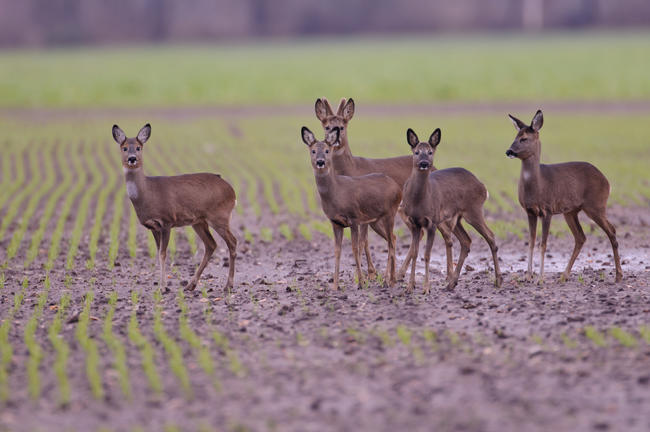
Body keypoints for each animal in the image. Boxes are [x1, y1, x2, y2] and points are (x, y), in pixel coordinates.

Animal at [112, 125, 237, 294]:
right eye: (124, 148)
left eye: (138, 147)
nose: (132, 158)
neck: (147, 193)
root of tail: (232, 191)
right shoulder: (152, 226)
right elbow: (158, 252)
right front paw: (162, 285)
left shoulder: (167, 221)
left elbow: (163, 254)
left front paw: (163, 287)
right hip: (199, 221)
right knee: (211, 244)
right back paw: (191, 285)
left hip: (219, 216)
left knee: (232, 242)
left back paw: (228, 285)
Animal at [300, 125, 400, 290]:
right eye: (313, 151)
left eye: (327, 150)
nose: (320, 162)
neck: (336, 194)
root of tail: (397, 187)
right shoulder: (335, 222)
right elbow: (337, 251)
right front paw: (335, 286)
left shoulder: (354, 218)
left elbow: (354, 248)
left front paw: (361, 282)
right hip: (375, 220)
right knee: (393, 237)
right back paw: (392, 280)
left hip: (390, 213)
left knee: (390, 243)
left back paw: (386, 280)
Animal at [314, 99, 456, 286]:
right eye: (327, 126)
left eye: (342, 127)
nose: (335, 138)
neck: (351, 168)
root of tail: (435, 167)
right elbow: (366, 242)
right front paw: (371, 274)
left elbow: (362, 242)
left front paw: (363, 277)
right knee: (417, 235)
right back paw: (404, 274)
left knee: (443, 233)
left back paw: (445, 275)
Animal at [400, 126, 502, 292]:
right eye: (416, 152)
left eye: (430, 152)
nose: (424, 163)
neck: (419, 201)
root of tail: (483, 186)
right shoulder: (414, 222)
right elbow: (415, 253)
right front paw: (409, 287)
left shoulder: (432, 221)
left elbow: (426, 255)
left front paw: (426, 288)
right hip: (458, 217)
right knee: (466, 241)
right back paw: (451, 283)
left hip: (474, 210)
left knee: (491, 236)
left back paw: (498, 280)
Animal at [504, 109, 620, 282]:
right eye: (515, 136)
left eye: (524, 138)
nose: (509, 151)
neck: (538, 185)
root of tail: (607, 182)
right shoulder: (530, 211)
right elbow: (531, 242)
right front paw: (528, 276)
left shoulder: (548, 210)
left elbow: (543, 244)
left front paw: (540, 279)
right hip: (571, 211)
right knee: (581, 237)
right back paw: (564, 276)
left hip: (596, 205)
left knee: (611, 230)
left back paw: (619, 276)